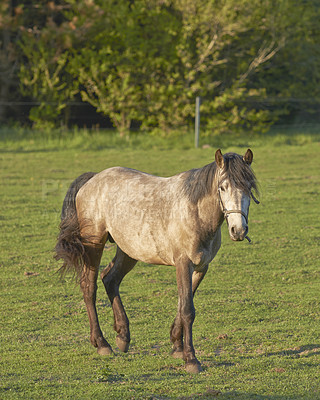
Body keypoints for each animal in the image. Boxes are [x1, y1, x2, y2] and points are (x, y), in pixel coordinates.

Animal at [55, 148, 258, 374]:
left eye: (249, 186)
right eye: (223, 187)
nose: (238, 230)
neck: (196, 213)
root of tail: (93, 179)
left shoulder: (201, 267)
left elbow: (183, 304)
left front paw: (177, 345)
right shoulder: (183, 264)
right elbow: (187, 310)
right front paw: (191, 359)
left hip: (129, 250)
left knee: (110, 279)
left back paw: (122, 336)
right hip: (94, 245)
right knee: (89, 287)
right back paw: (102, 343)